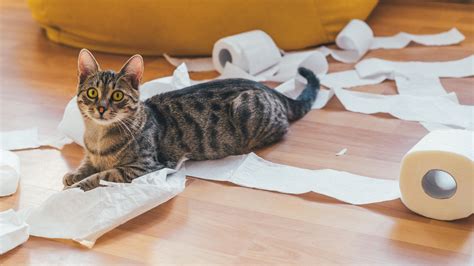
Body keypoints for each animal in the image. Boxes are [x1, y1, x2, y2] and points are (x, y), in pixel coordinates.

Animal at [63, 48, 320, 190]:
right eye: (92, 93)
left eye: (117, 95)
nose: (101, 108)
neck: (98, 137)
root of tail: (267, 87)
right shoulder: (92, 157)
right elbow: (86, 165)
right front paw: (73, 175)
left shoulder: (143, 166)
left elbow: (103, 175)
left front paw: (79, 185)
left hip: (248, 110)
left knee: (283, 128)